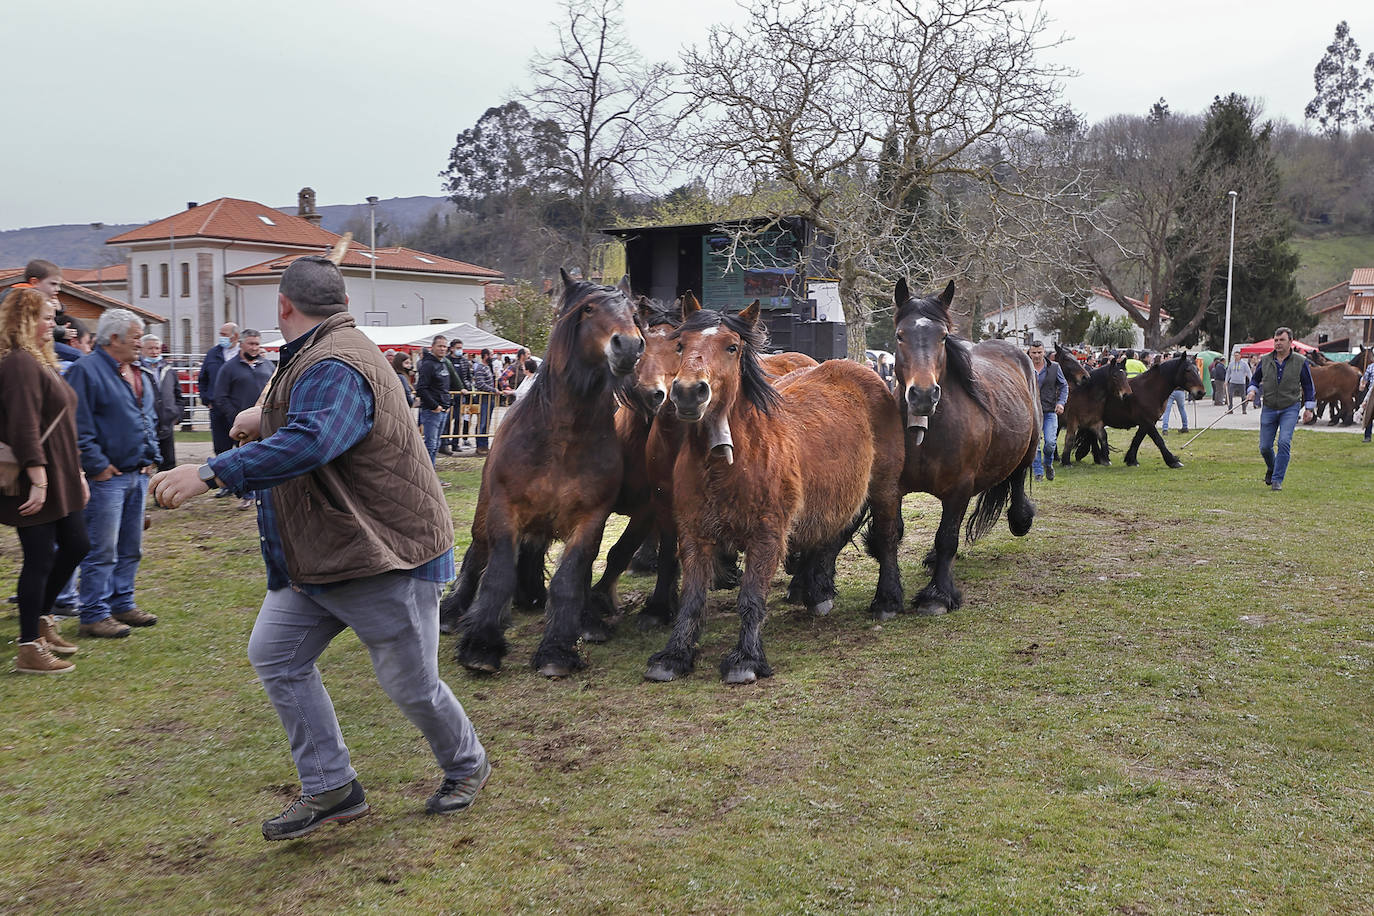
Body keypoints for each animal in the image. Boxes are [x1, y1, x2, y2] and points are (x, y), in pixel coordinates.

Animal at [447, 269, 645, 678]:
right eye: (588, 309)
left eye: (632, 312)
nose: (630, 346)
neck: (561, 439)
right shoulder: (504, 511)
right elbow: (498, 574)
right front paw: (481, 646)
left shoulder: (591, 520)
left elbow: (570, 578)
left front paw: (557, 650)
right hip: (484, 515)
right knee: (477, 555)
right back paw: (452, 613)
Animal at [645, 300, 906, 681]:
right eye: (681, 345)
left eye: (732, 347)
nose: (689, 392)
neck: (727, 463)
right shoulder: (695, 534)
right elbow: (692, 598)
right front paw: (673, 656)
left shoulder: (766, 534)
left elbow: (751, 597)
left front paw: (745, 659)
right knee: (829, 536)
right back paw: (817, 593)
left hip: (884, 489)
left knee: (885, 539)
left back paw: (887, 600)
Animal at [895, 280, 1033, 620]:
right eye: (900, 335)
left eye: (943, 336)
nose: (923, 395)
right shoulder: (893, 485)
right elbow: (894, 531)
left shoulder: (958, 487)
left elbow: (948, 537)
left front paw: (938, 595)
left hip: (1028, 447)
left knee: (1019, 476)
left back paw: (1021, 519)